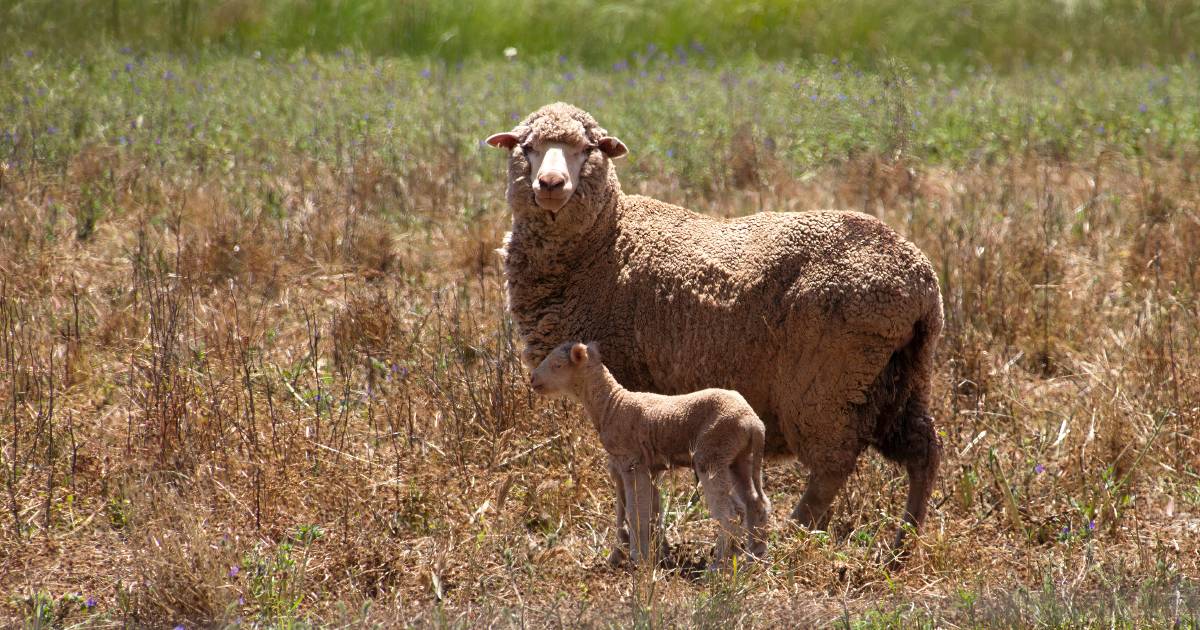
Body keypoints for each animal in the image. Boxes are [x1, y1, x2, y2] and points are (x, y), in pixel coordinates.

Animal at [532, 338, 772, 564]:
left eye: (557, 364)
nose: (533, 380)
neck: (611, 405)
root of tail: (754, 423)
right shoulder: (647, 467)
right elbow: (650, 513)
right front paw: (655, 555)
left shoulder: (632, 462)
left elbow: (636, 512)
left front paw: (639, 557)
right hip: (738, 458)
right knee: (756, 504)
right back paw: (754, 556)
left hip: (712, 454)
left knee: (730, 513)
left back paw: (720, 564)